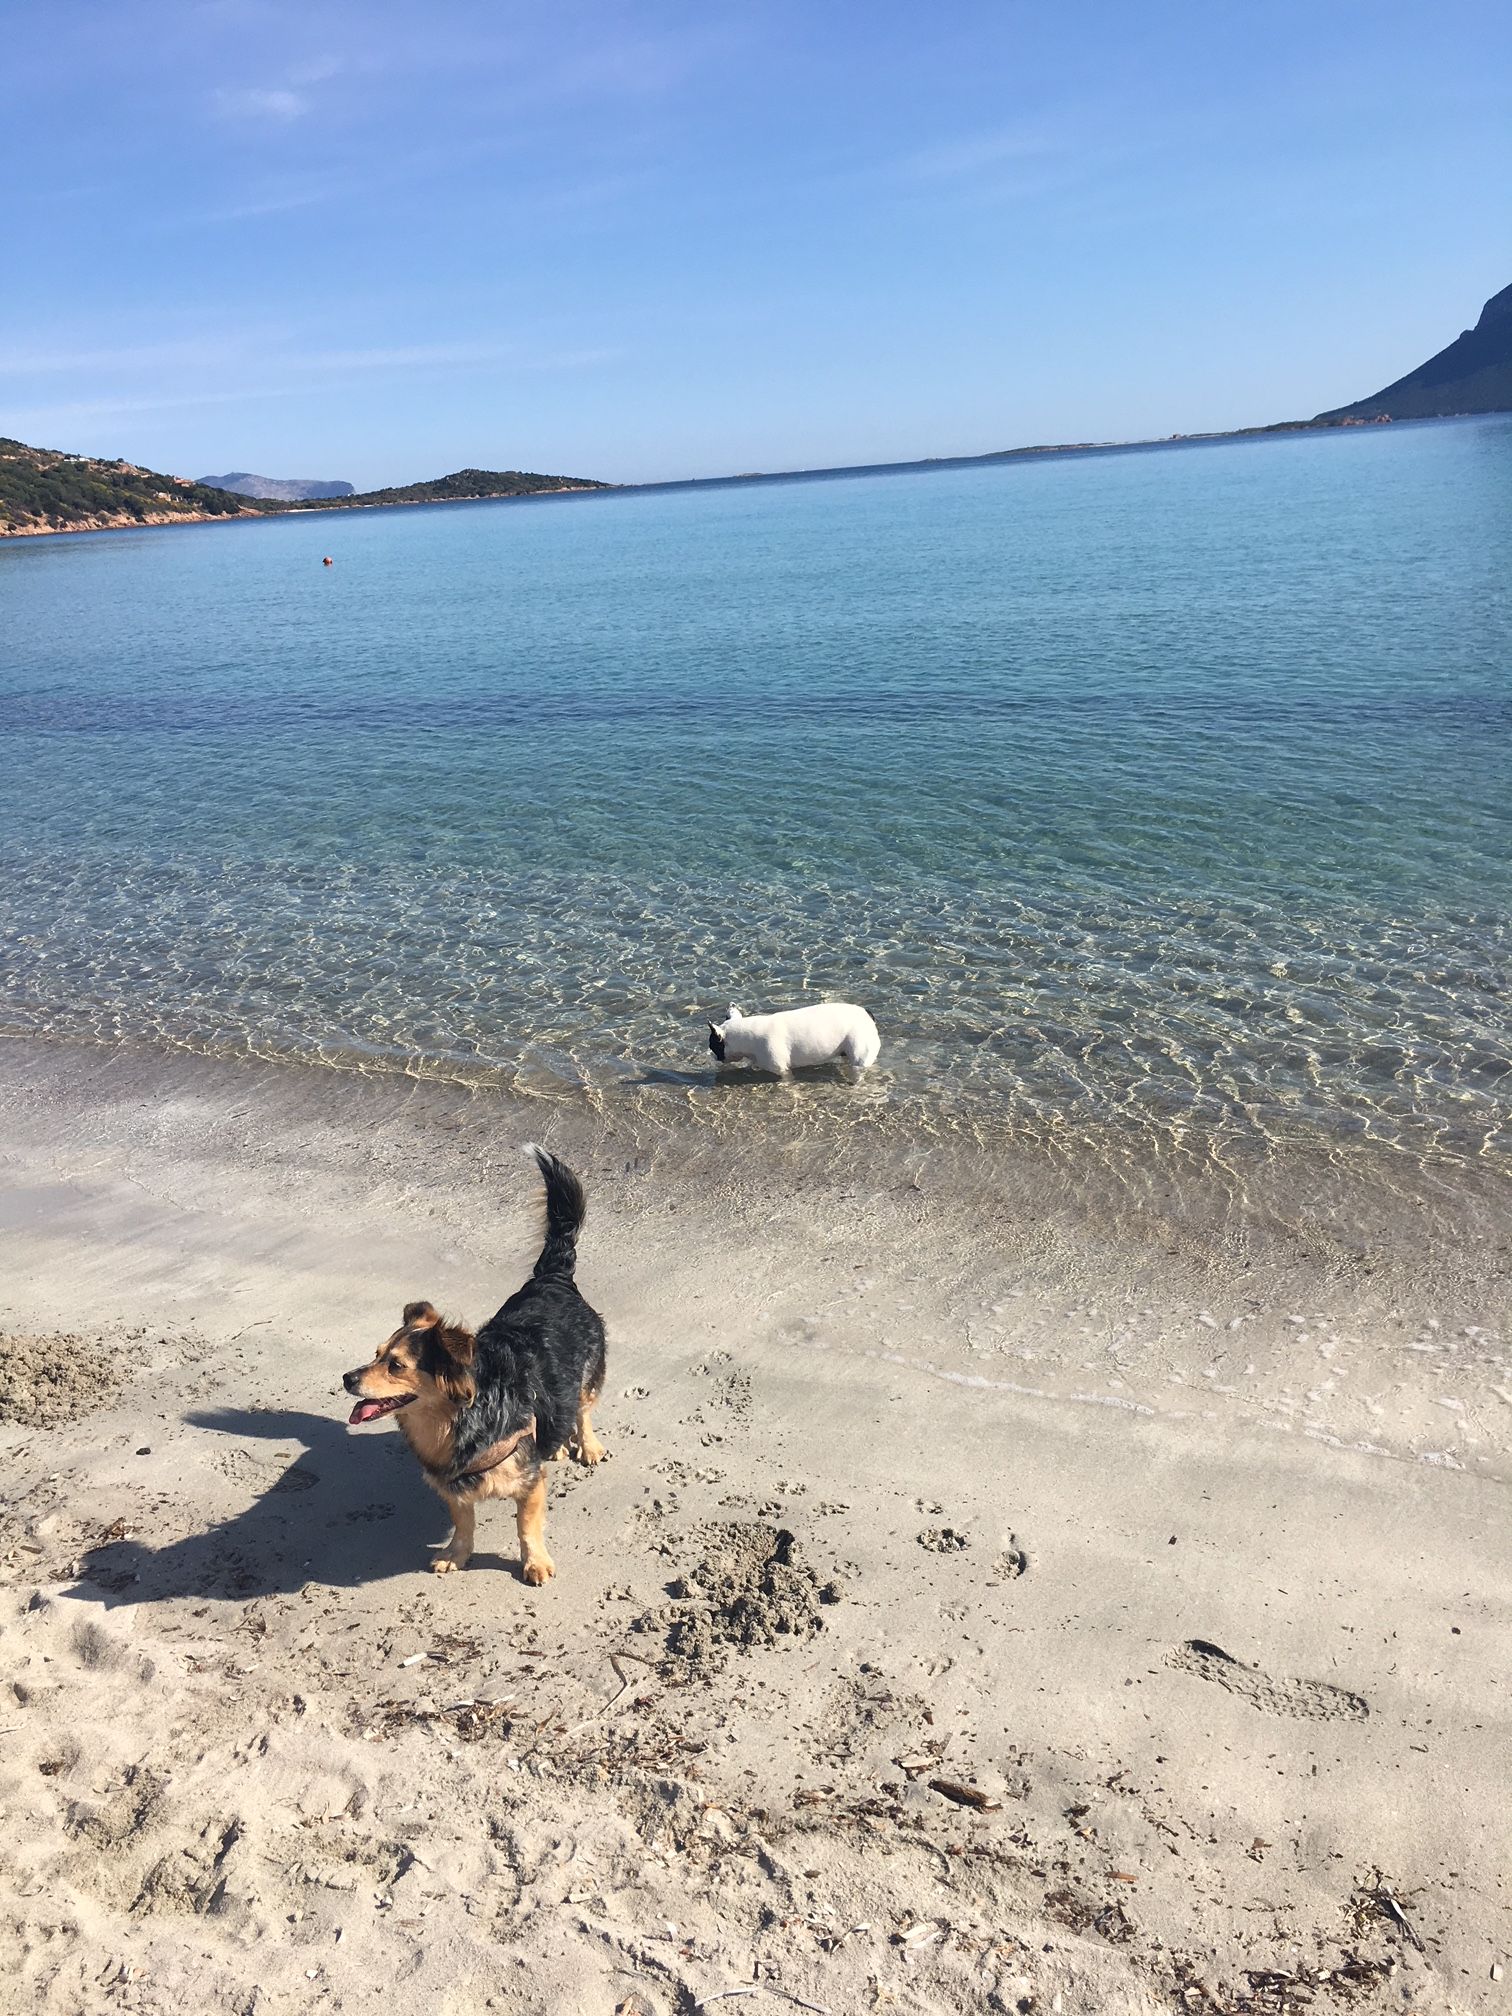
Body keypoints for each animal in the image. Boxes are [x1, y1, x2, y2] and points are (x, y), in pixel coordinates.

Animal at [340, 1145, 608, 1580]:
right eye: (376, 1354)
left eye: (396, 1365)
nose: (347, 1378)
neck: (457, 1419)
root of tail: (552, 1278)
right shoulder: (453, 1487)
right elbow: (464, 1523)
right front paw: (456, 1553)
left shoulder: (529, 1482)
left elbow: (526, 1526)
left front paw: (535, 1562)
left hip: (589, 1371)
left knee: (583, 1409)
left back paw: (587, 1446)